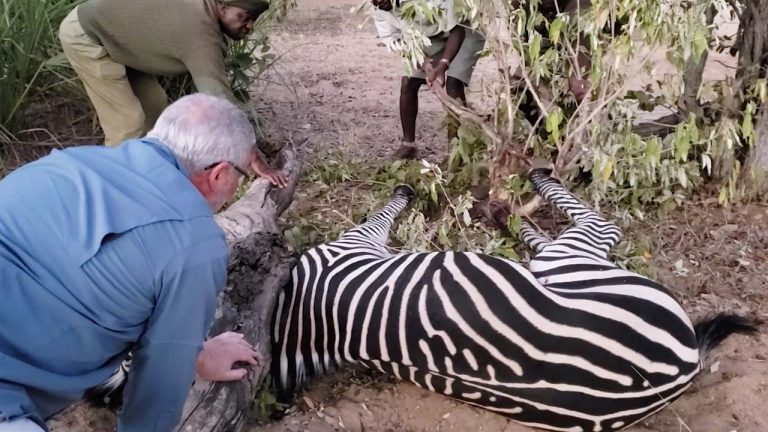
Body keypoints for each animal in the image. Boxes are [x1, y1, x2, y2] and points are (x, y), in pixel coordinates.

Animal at [272, 168, 756, 432]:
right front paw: (406, 192)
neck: (308, 325)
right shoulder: (352, 246)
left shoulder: (351, 252)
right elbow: (383, 215)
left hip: (563, 264)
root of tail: (682, 372)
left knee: (565, 233)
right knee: (599, 225)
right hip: (569, 262)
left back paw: (507, 209)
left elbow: (384, 217)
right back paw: (524, 192)